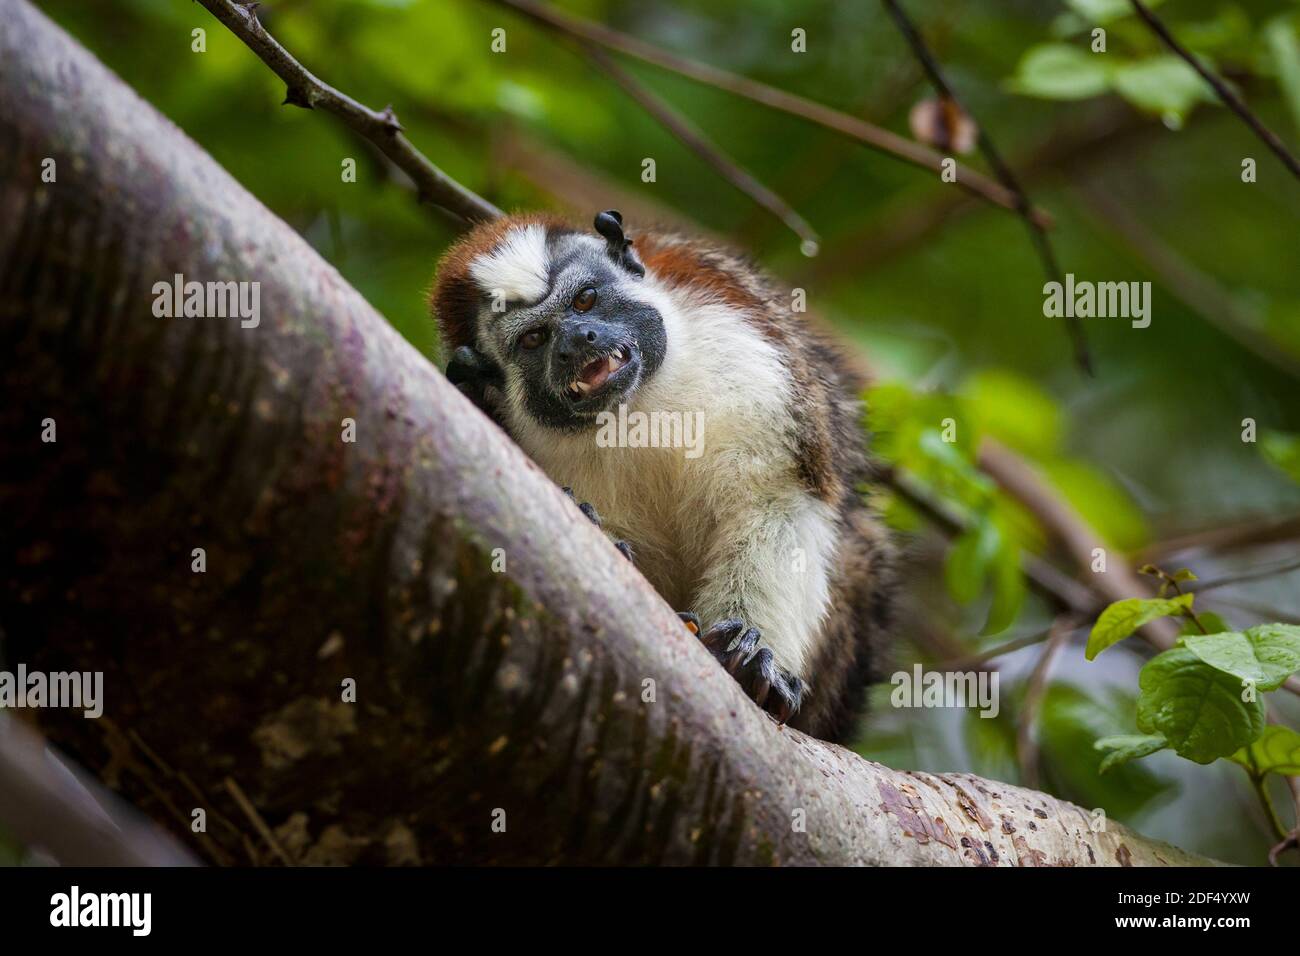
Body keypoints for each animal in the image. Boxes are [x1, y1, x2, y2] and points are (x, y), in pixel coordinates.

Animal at [431, 210, 899, 749]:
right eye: (535, 339)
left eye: (585, 300)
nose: (577, 340)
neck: (636, 404)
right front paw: (594, 526)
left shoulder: (753, 350)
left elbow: (779, 502)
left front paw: (753, 659)